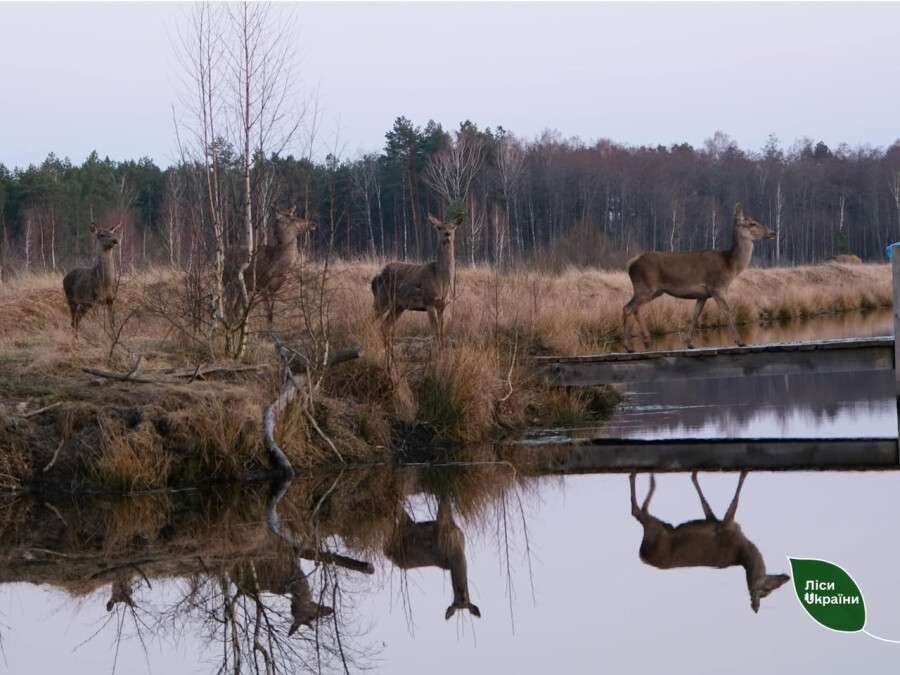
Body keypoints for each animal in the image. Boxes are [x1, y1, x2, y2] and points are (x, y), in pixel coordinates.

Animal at [370, 215, 458, 354]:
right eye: (439, 227)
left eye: (453, 227)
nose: (447, 234)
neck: (441, 280)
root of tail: (374, 279)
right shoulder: (429, 301)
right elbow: (435, 332)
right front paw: (437, 353)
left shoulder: (443, 305)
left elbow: (441, 331)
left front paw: (442, 351)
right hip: (382, 298)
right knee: (369, 320)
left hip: (398, 305)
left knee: (384, 326)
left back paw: (390, 351)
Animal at [384, 496, 482, 624]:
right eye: (457, 602)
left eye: (464, 602)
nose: (462, 596)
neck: (457, 551)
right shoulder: (443, 524)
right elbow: (444, 503)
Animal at [624, 202, 776, 352]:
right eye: (752, 223)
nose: (773, 232)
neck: (729, 266)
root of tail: (631, 263)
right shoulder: (717, 287)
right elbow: (727, 311)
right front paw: (740, 341)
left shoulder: (703, 294)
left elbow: (695, 315)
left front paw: (689, 343)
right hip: (645, 286)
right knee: (628, 308)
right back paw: (631, 345)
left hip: (654, 291)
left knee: (634, 308)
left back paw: (644, 342)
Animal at [628, 472, 792, 616]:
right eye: (767, 591)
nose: (785, 577)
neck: (742, 550)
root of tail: (642, 555)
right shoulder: (726, 526)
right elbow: (734, 502)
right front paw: (744, 472)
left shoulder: (718, 522)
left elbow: (706, 505)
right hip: (655, 530)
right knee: (636, 512)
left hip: (659, 528)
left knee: (641, 510)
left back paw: (650, 480)